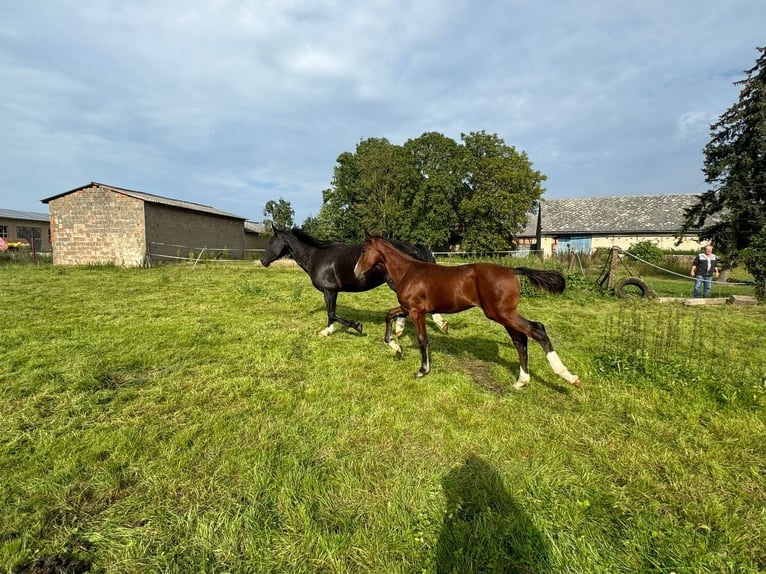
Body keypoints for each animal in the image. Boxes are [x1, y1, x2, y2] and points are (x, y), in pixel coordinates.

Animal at [260, 227, 448, 338]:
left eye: (271, 241)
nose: (262, 260)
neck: (316, 256)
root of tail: (412, 247)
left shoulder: (330, 291)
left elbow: (332, 313)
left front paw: (356, 327)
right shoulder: (330, 292)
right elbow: (330, 313)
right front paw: (329, 330)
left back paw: (439, 324)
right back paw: (402, 328)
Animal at [354, 235, 584, 392]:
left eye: (364, 251)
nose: (356, 272)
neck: (409, 272)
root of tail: (512, 270)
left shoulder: (416, 311)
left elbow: (422, 340)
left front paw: (422, 370)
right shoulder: (407, 308)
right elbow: (389, 315)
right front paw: (396, 346)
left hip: (501, 314)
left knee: (538, 330)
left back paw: (568, 376)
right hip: (505, 315)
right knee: (521, 340)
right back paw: (521, 381)